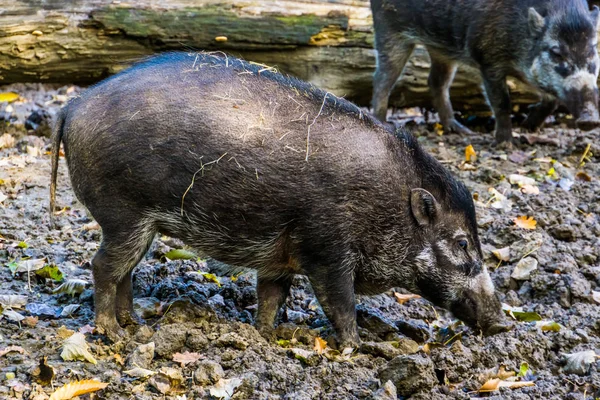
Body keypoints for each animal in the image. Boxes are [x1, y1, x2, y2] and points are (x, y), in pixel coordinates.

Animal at [51, 52, 510, 346]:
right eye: (462, 243)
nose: (503, 324)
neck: (386, 205)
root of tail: (71, 108)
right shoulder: (328, 250)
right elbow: (340, 303)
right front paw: (356, 347)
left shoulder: (281, 256)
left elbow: (271, 296)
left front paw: (268, 336)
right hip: (124, 214)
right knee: (103, 266)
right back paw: (112, 333)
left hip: (133, 224)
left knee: (124, 271)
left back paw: (136, 324)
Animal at [370, 0, 600, 145]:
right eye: (556, 52)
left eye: (592, 50)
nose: (590, 119)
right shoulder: (488, 60)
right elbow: (501, 102)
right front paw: (506, 143)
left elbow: (551, 101)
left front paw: (528, 128)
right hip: (389, 31)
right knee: (382, 80)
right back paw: (381, 121)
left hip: (441, 51)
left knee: (436, 82)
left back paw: (462, 130)